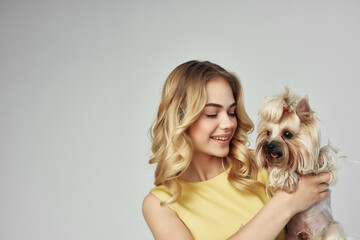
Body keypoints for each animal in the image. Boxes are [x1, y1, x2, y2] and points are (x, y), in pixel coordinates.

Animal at [256, 88, 346, 240]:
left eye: (287, 134)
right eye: (268, 133)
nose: (269, 146)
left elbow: (323, 159)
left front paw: (318, 162)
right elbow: (279, 172)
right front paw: (286, 176)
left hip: (333, 229)